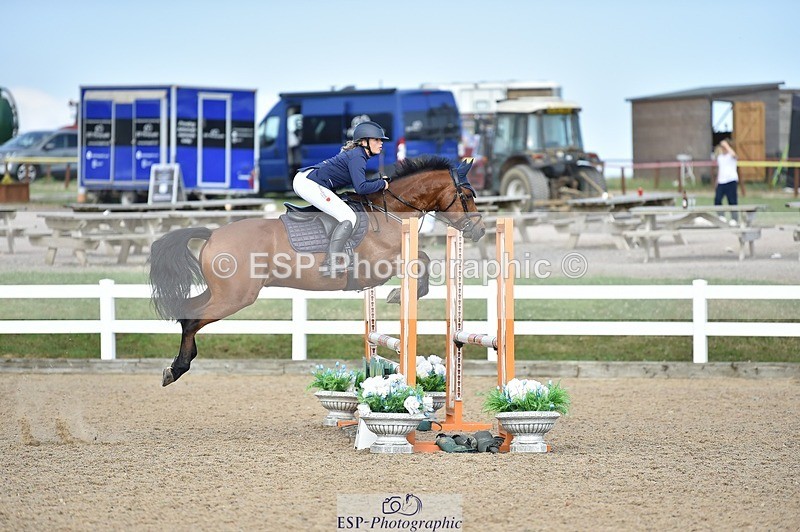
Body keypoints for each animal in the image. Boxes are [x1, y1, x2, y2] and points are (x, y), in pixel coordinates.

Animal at [149, 156, 486, 386]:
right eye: (468, 196)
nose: (480, 231)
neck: (389, 211)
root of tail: (213, 234)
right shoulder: (380, 265)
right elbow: (422, 260)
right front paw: (399, 295)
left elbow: (423, 259)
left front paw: (402, 294)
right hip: (235, 297)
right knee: (192, 320)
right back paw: (177, 369)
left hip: (220, 293)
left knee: (187, 314)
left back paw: (176, 365)